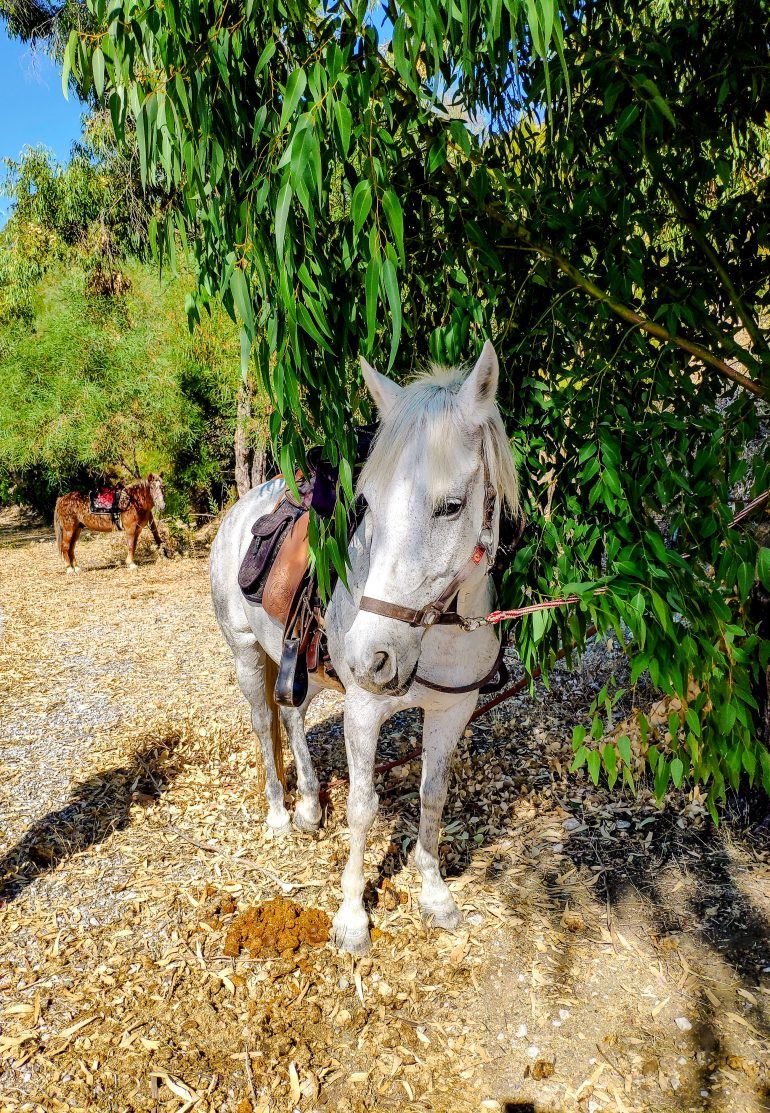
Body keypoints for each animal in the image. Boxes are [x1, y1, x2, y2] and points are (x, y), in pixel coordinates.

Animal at [212, 340, 516, 957]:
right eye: (368, 503)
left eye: (451, 506)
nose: (371, 658)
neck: (434, 635)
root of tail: (241, 510)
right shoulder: (364, 710)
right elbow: (363, 806)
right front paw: (352, 917)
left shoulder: (452, 712)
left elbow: (431, 795)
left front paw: (435, 895)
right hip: (247, 656)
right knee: (263, 724)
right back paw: (280, 814)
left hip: (297, 665)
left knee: (293, 718)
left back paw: (308, 803)